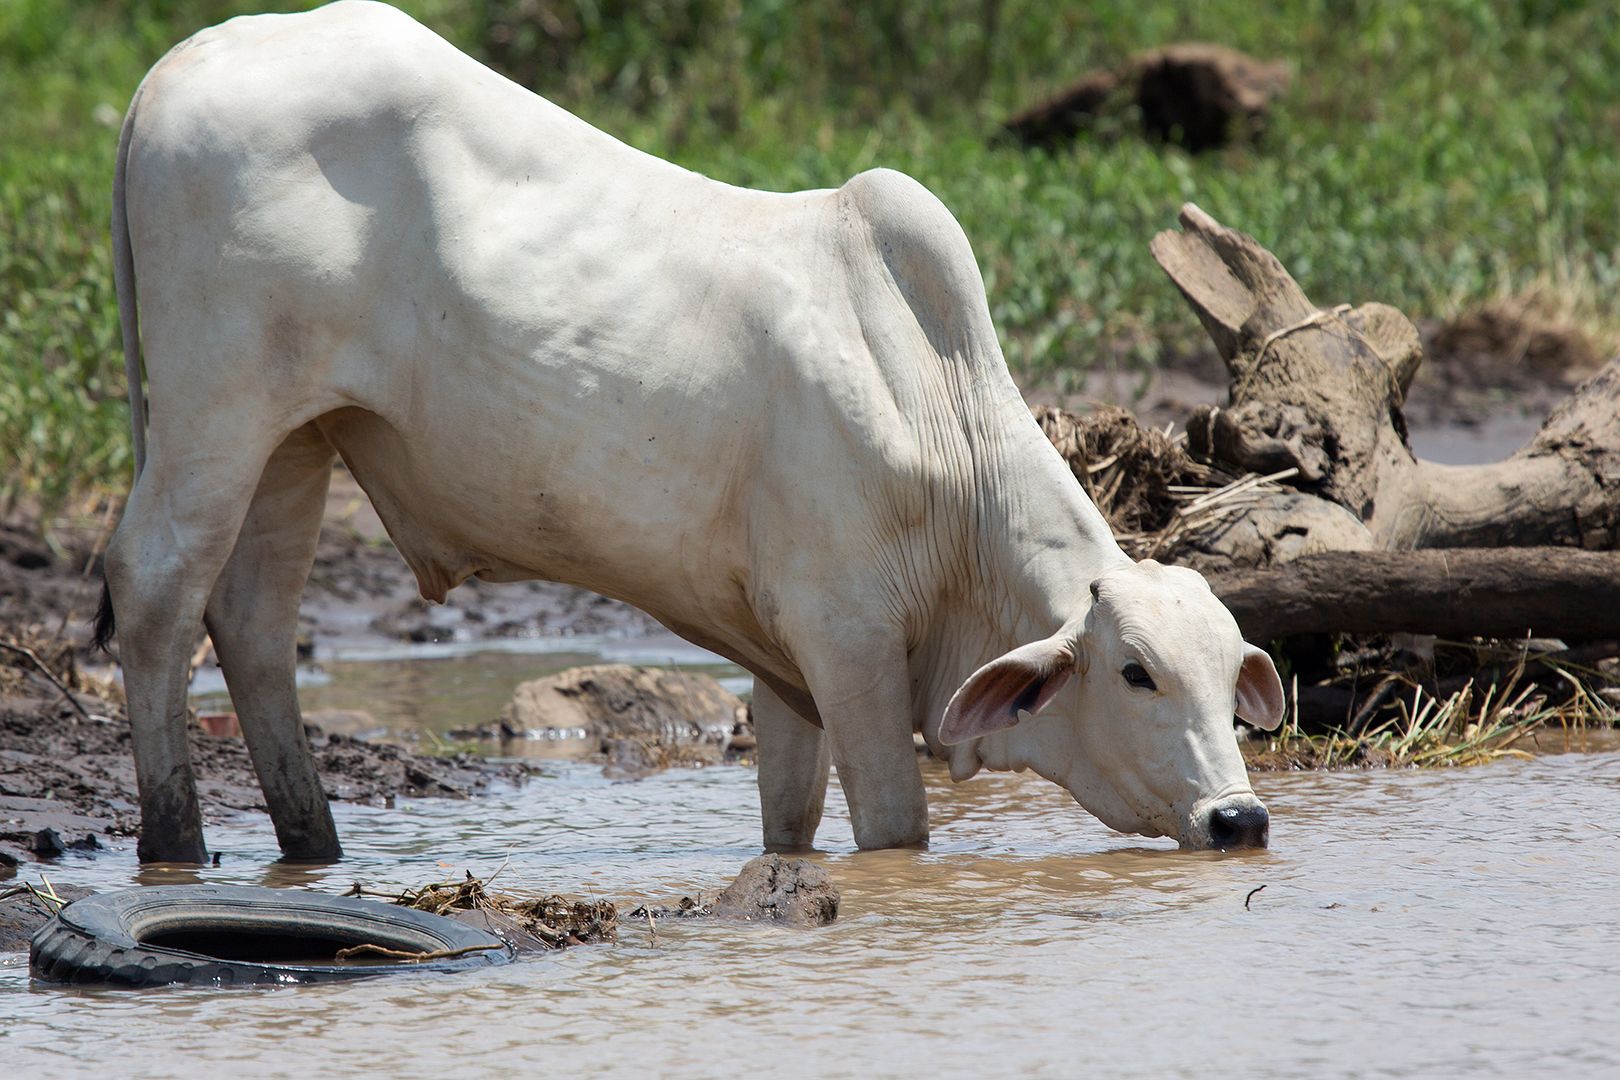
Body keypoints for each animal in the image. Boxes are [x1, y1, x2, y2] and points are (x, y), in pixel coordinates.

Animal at [107, 0, 1283, 861]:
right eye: (1136, 673)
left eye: (1233, 670)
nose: (1240, 818)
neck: (942, 428)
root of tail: (186, 59)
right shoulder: (845, 640)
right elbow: (894, 830)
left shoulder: (785, 664)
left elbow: (789, 823)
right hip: (216, 411)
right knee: (156, 586)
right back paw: (175, 847)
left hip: (298, 437)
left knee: (252, 619)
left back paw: (312, 848)